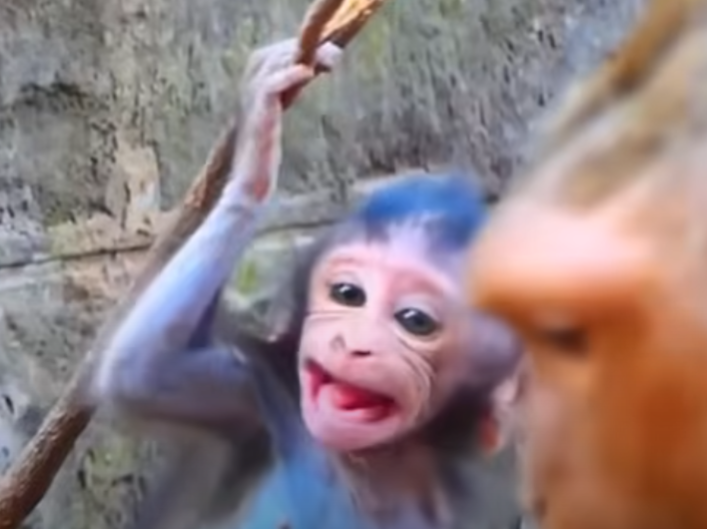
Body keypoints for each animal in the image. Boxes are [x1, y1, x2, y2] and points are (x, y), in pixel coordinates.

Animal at [90, 37, 523, 529]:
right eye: (348, 295)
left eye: (414, 320)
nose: (355, 344)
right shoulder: (255, 393)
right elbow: (141, 374)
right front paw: (256, 152)